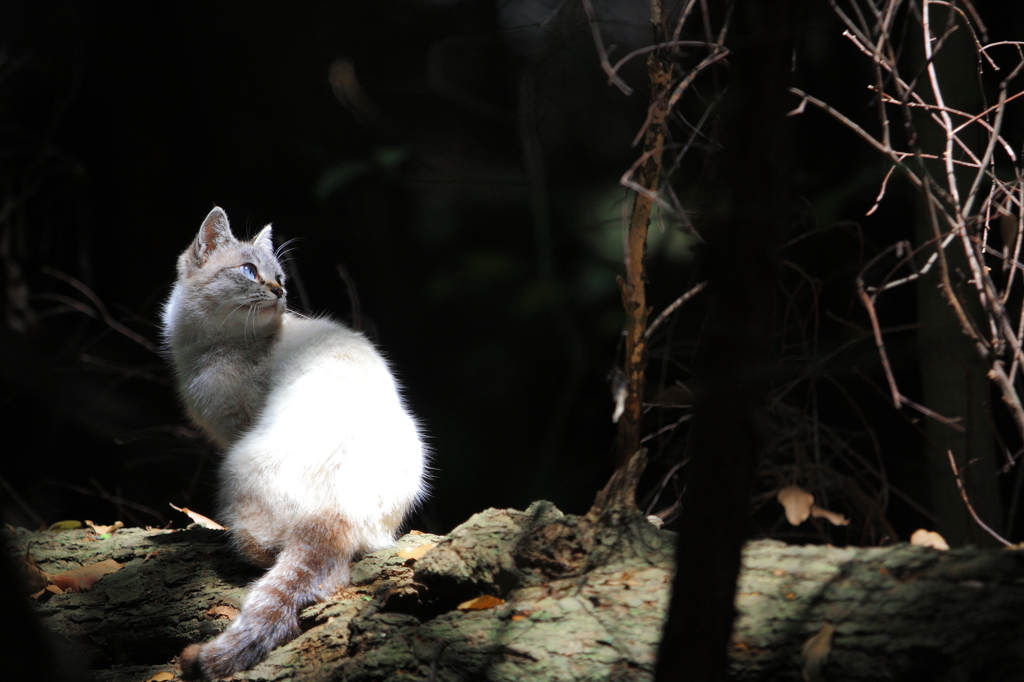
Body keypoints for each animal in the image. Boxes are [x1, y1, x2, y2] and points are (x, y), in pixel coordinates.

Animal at [161, 205, 425, 675]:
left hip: (234, 470)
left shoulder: (234, 426)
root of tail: (336, 507)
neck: (203, 347)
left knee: (268, 553)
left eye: (279, 275)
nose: (279, 289)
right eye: (250, 271)